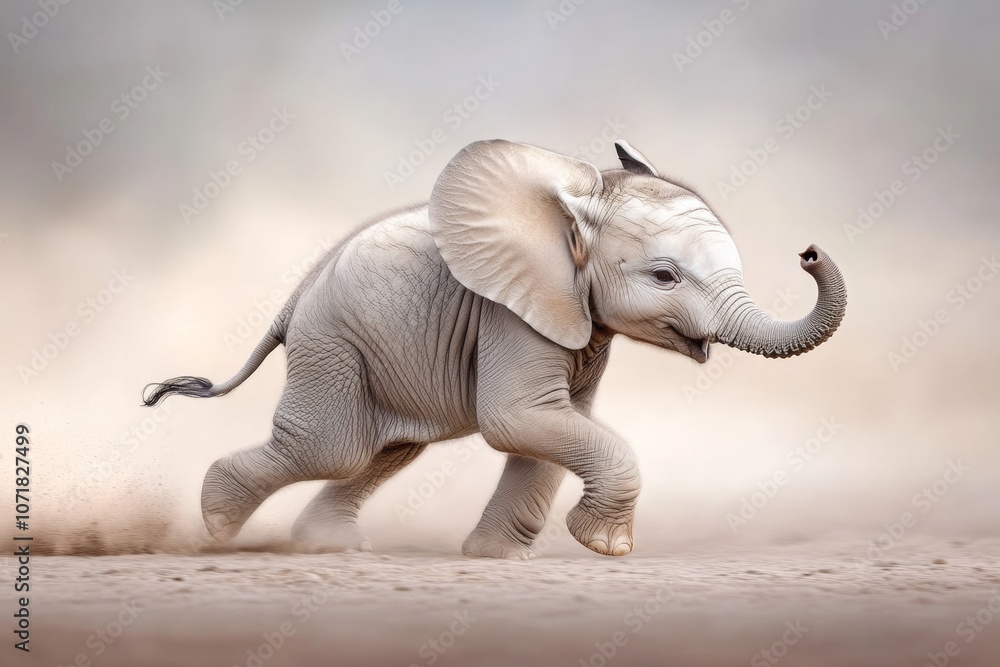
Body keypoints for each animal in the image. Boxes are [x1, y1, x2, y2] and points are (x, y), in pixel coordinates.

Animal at [143, 139, 846, 559]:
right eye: (664, 277)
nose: (809, 252)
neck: (578, 201)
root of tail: (293, 301)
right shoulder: (510, 313)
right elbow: (519, 420)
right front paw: (608, 548)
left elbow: (558, 425)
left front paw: (496, 558)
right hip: (331, 340)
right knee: (332, 448)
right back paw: (218, 526)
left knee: (385, 449)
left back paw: (327, 547)